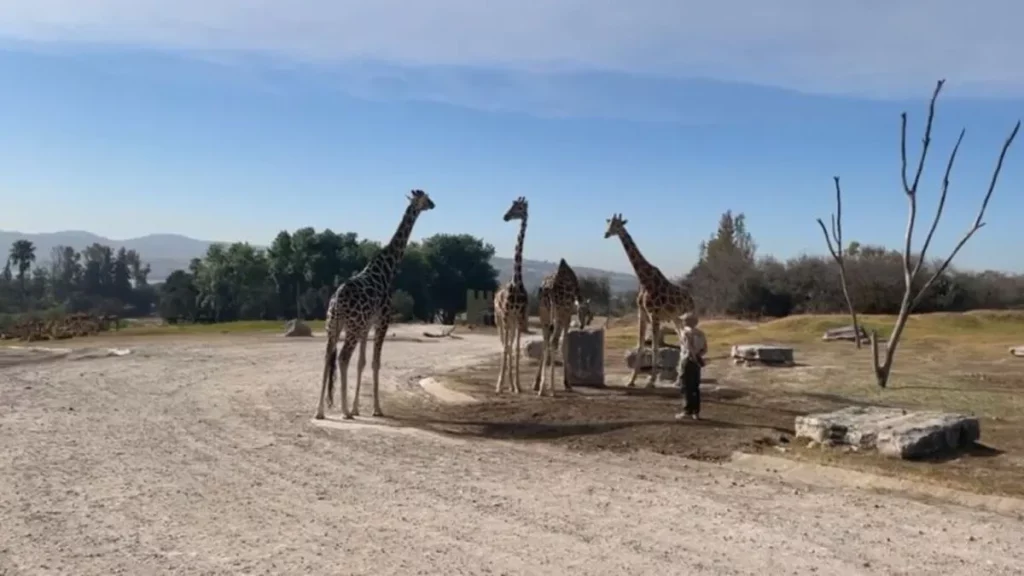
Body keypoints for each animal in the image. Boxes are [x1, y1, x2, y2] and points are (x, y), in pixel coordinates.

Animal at [315, 190, 436, 420]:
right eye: (425, 197)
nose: (433, 205)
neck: (388, 269)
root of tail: (337, 301)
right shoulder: (382, 321)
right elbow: (375, 362)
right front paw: (376, 409)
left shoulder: (366, 326)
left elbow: (362, 363)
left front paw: (357, 408)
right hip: (351, 328)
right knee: (342, 358)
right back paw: (344, 411)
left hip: (332, 326)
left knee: (327, 357)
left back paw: (320, 411)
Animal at [602, 213, 700, 387]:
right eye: (608, 223)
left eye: (617, 225)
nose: (606, 234)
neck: (644, 280)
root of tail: (692, 299)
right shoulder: (641, 313)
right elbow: (640, 345)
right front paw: (631, 380)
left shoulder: (654, 314)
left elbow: (654, 347)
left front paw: (651, 380)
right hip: (676, 318)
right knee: (683, 342)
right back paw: (678, 381)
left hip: (687, 317)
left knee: (687, 341)